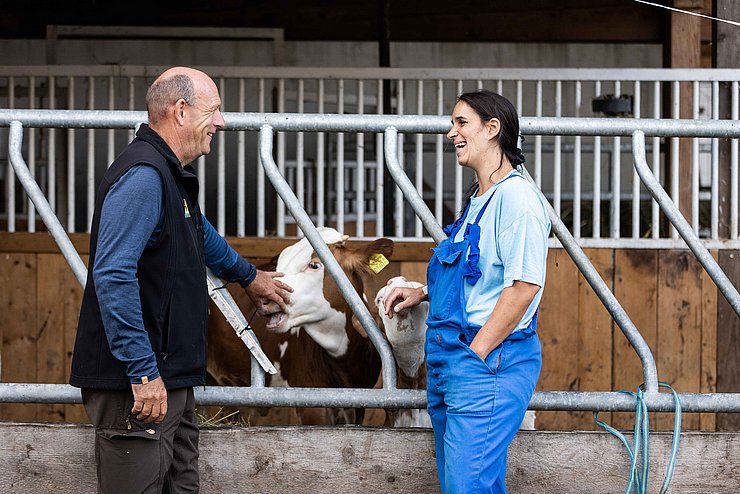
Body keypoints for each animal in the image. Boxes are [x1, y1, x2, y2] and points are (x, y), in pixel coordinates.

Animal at [205, 228, 396, 424]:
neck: (344, 363)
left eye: (314, 265)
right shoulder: (311, 404)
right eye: (280, 264)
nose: (264, 295)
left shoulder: (357, 407)